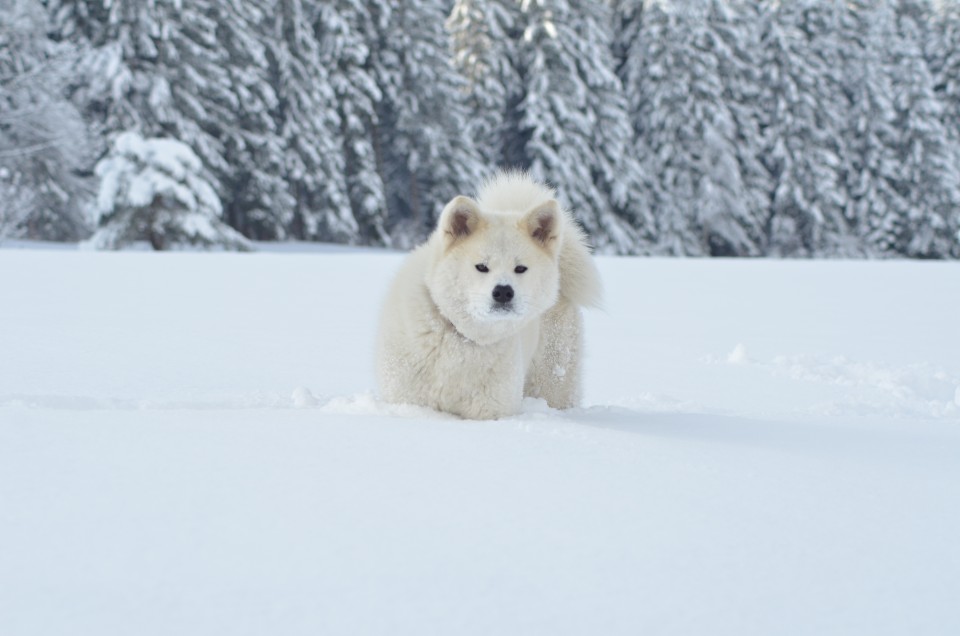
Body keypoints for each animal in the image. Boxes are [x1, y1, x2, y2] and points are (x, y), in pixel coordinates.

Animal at [376, 171, 600, 420]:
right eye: (481, 266)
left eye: (520, 268)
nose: (503, 292)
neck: (463, 337)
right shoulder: (410, 401)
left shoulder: (492, 411)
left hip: (552, 381)